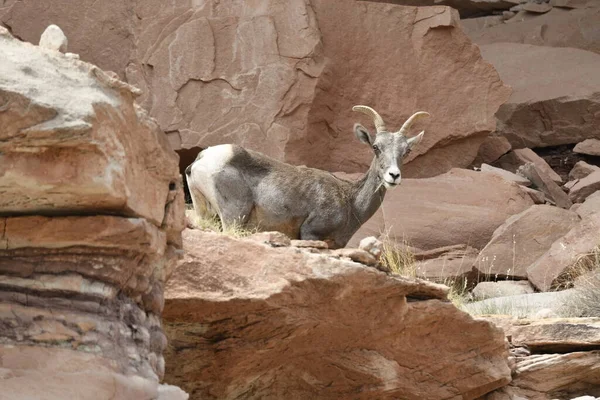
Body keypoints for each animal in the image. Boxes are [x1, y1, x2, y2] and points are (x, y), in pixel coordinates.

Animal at [185, 108, 428, 248]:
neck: (350, 201)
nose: (393, 175)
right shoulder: (311, 234)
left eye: (406, 151)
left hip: (204, 211)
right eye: (376, 147)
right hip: (233, 216)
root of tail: (202, 159)